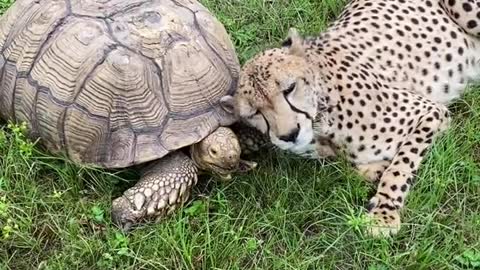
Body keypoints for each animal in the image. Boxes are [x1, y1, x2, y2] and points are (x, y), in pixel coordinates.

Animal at [220, 0, 480, 236]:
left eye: (289, 88)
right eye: (254, 112)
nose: (289, 134)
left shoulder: (429, 111)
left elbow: (400, 167)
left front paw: (384, 214)